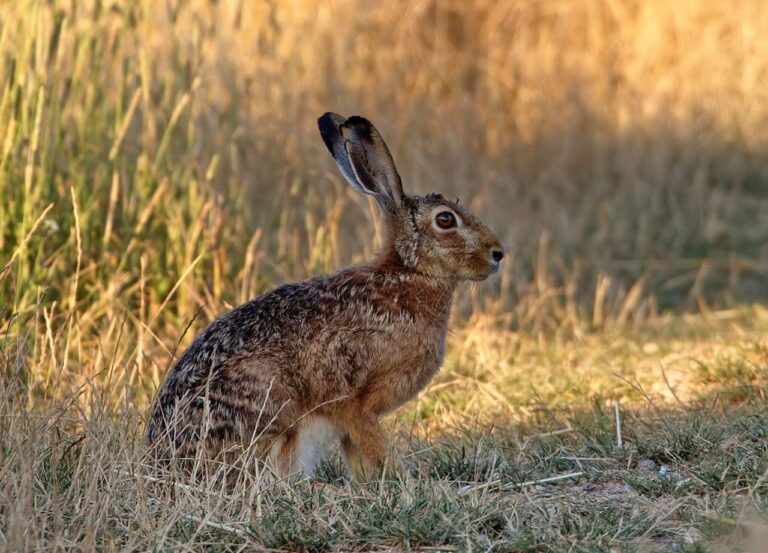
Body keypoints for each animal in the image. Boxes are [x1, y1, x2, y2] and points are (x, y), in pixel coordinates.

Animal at [146, 113, 505, 479]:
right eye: (445, 219)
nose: (498, 254)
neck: (409, 272)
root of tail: (165, 462)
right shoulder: (353, 398)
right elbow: (372, 440)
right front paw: (400, 477)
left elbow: (356, 451)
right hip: (272, 401)